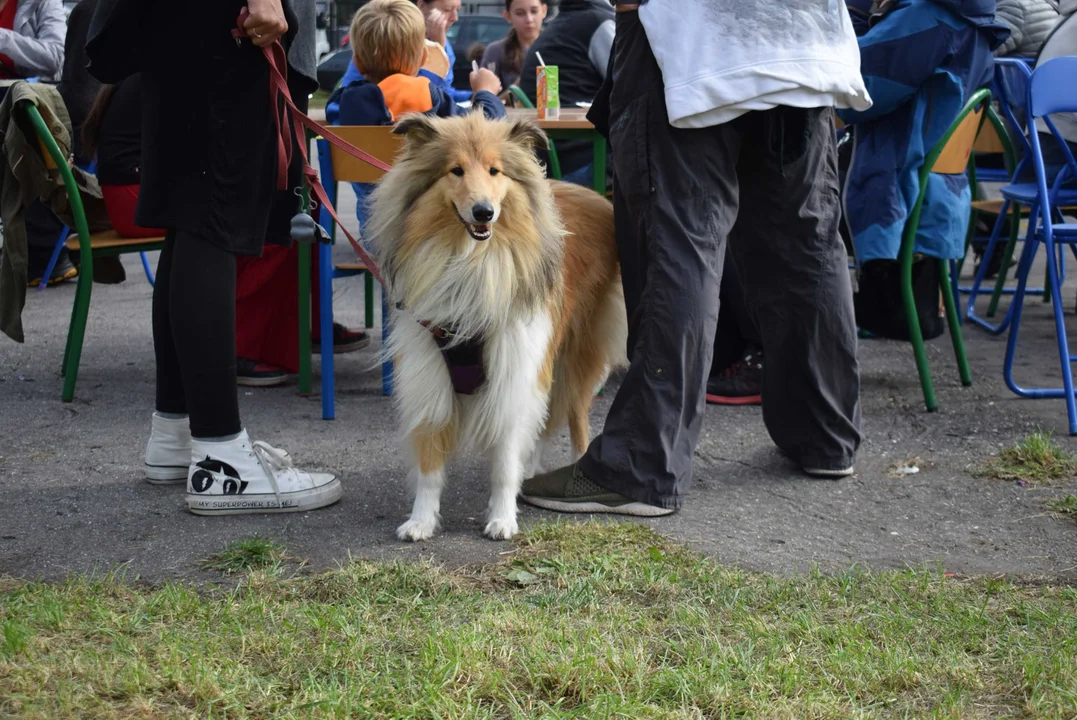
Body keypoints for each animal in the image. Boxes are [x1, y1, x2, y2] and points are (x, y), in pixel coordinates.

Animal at [366, 112, 628, 538]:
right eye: (455, 170)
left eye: (495, 171)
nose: (483, 212)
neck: (472, 261)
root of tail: (598, 198)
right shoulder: (429, 376)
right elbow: (429, 465)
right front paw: (420, 522)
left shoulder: (514, 371)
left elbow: (504, 461)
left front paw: (503, 519)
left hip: (576, 356)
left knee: (573, 419)